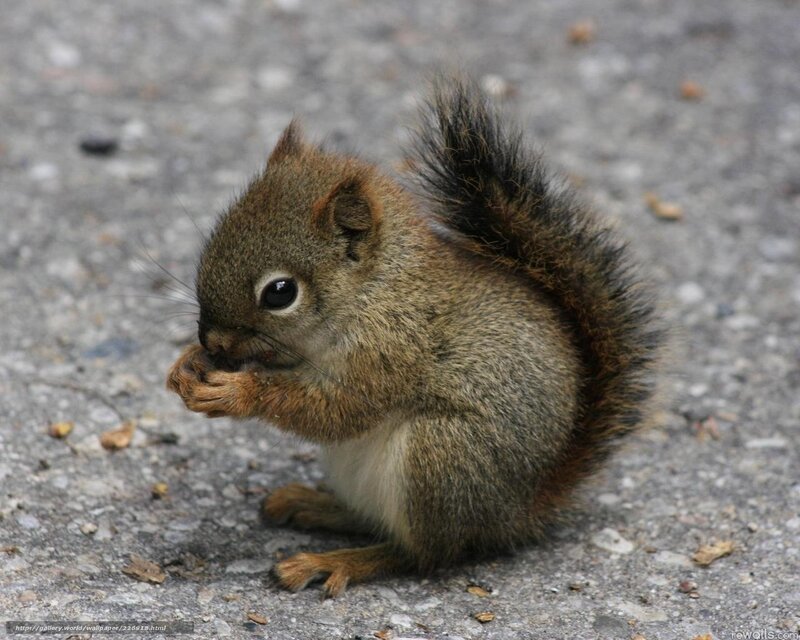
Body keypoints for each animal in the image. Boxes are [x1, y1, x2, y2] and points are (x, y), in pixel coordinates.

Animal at [166, 75, 663, 597]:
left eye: (280, 293)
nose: (213, 342)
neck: (375, 291)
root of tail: (518, 512)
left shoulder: (391, 350)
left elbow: (338, 409)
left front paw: (237, 392)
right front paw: (187, 365)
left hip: (441, 457)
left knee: (422, 554)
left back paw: (336, 561)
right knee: (374, 521)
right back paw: (314, 504)